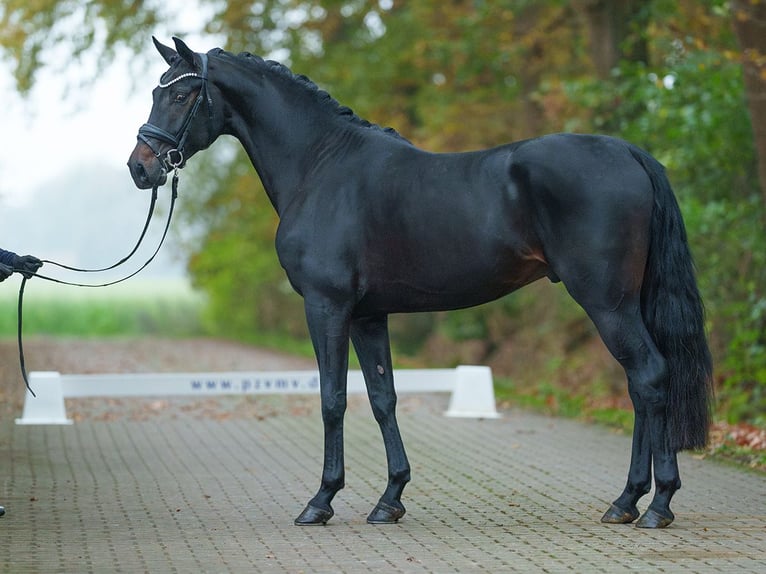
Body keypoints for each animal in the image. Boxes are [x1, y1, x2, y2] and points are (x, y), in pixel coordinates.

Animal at [130, 37, 712, 532]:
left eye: (181, 93)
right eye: (158, 89)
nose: (141, 168)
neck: (320, 165)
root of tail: (630, 153)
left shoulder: (327, 307)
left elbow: (332, 399)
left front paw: (321, 501)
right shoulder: (368, 315)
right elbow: (383, 397)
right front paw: (390, 499)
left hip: (607, 301)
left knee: (650, 376)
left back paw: (655, 505)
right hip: (624, 303)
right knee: (640, 385)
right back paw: (627, 501)